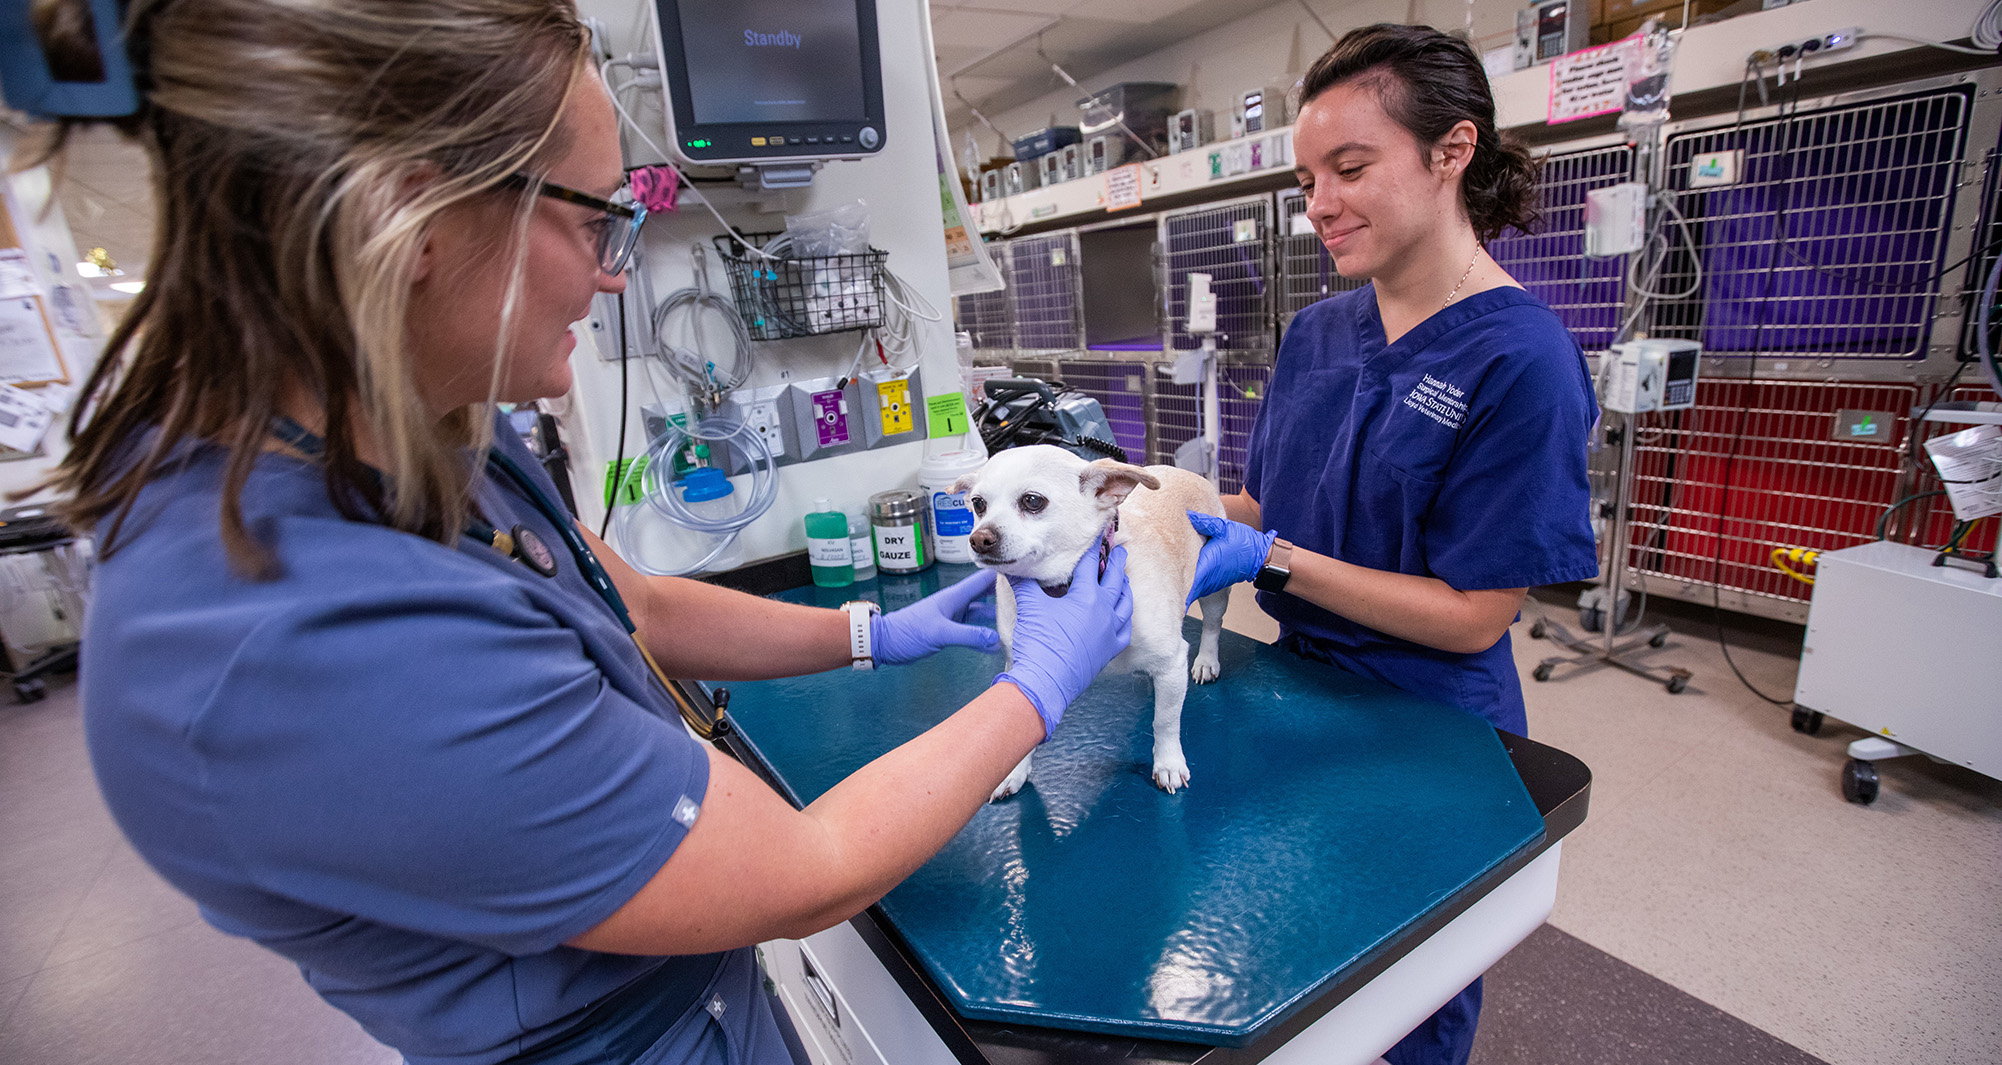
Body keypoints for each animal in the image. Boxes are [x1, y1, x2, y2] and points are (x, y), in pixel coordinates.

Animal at [944, 442, 1225, 800]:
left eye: (1032, 501)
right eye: (978, 504)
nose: (979, 538)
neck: (1061, 591)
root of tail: (1184, 471)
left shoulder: (1172, 662)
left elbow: (1165, 721)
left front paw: (1168, 763)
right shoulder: (1028, 669)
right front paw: (1015, 771)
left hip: (1216, 588)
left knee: (1212, 626)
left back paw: (1206, 661)